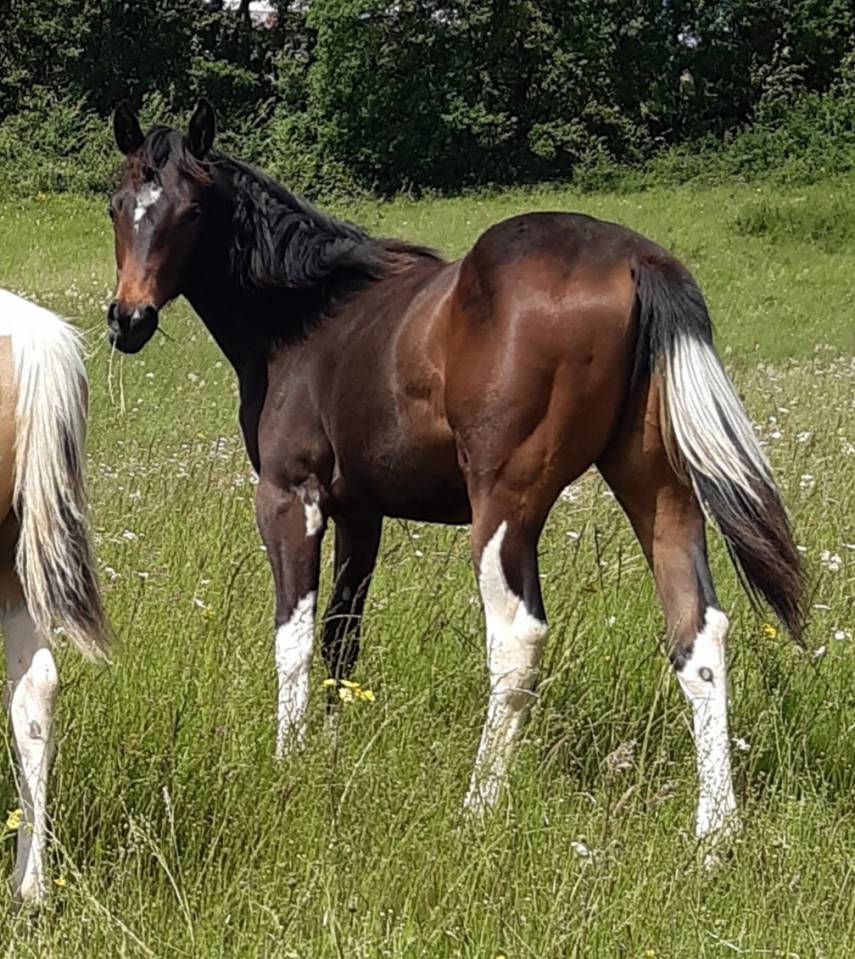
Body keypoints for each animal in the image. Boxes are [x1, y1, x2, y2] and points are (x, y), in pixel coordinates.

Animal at [106, 99, 803, 844]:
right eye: (116, 205)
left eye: (190, 211)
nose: (127, 318)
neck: (308, 319)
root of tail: (634, 258)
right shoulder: (361, 512)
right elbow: (341, 637)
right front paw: (329, 754)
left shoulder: (291, 499)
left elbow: (293, 637)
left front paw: (288, 759)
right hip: (659, 490)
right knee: (697, 635)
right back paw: (716, 831)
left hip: (506, 508)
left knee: (517, 641)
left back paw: (479, 806)